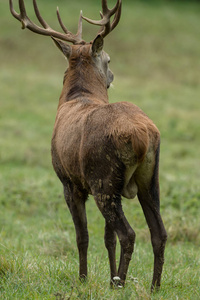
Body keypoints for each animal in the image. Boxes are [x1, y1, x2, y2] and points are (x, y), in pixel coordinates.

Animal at [10, 0, 168, 292]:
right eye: (109, 60)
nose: (112, 75)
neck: (78, 97)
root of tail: (143, 135)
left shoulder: (69, 181)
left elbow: (82, 236)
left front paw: (83, 278)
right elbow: (107, 239)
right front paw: (107, 276)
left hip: (102, 178)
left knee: (128, 233)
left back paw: (121, 284)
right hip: (148, 177)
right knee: (158, 232)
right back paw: (153, 286)